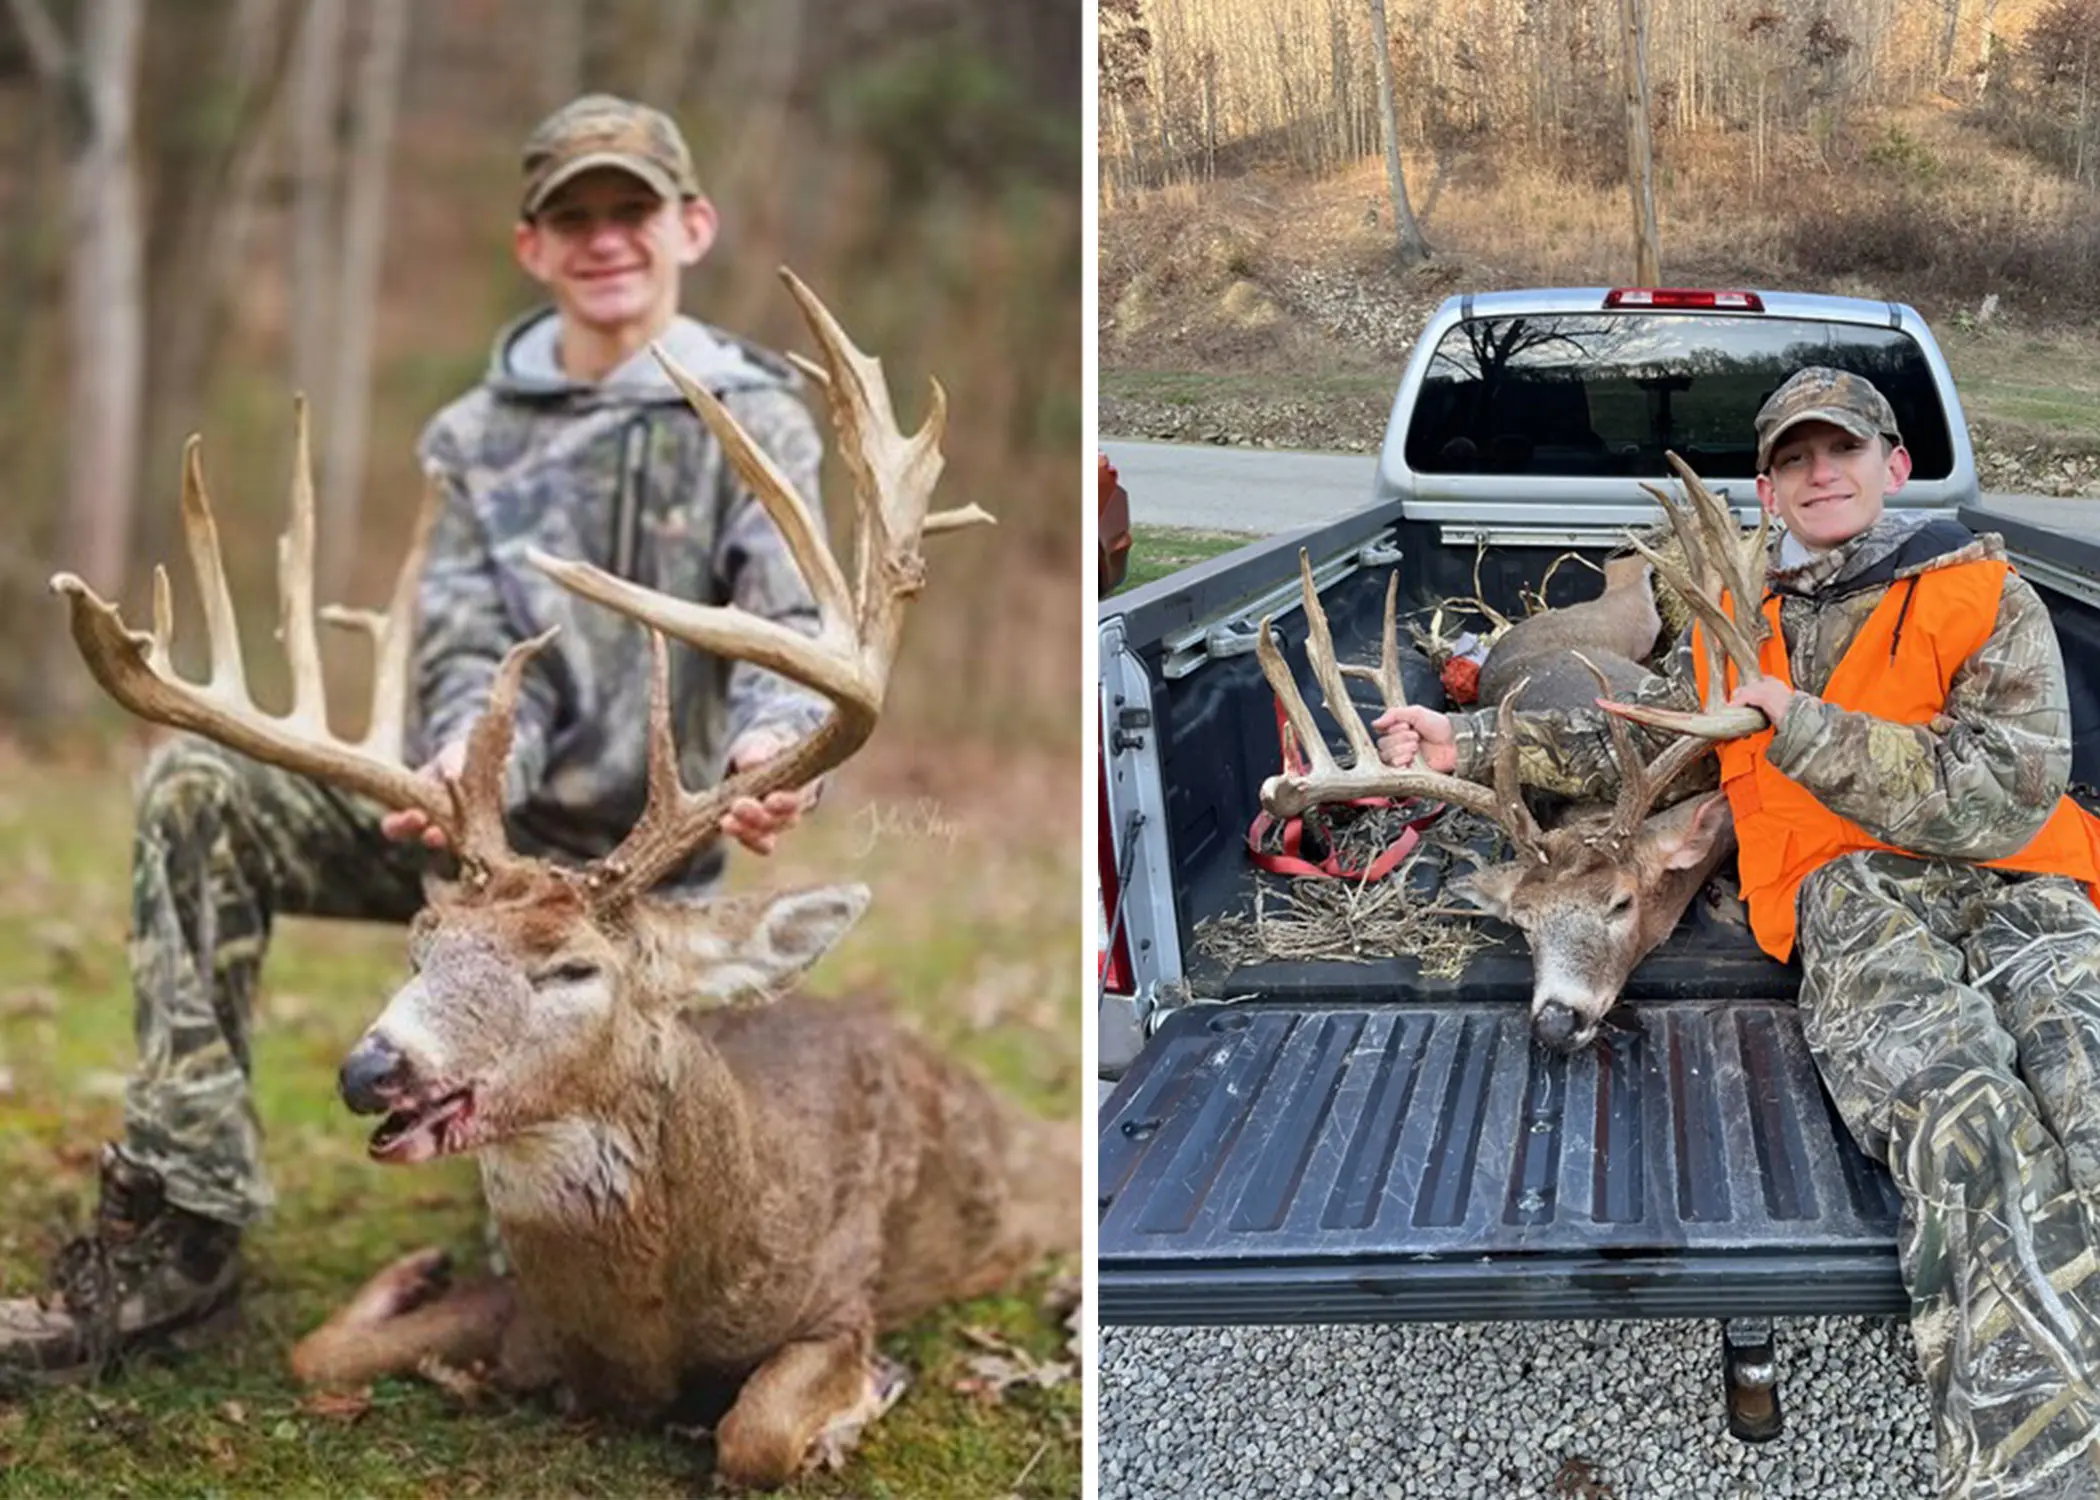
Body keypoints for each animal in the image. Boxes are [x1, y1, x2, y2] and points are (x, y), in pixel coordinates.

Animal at [51, 271, 1083, 1487]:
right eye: (423, 944)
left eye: (574, 970)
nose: (373, 1068)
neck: (651, 1327)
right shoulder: (526, 1318)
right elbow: (317, 1354)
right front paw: (404, 1277)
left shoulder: (840, 1295)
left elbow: (755, 1434)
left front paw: (857, 1405)